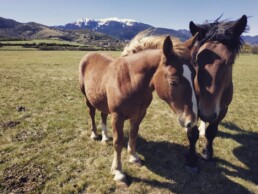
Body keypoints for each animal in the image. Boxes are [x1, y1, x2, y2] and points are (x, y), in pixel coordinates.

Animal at [78, 33, 198, 182]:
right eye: (173, 82)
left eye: (194, 76)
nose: (191, 121)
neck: (129, 81)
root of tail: (88, 55)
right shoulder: (117, 117)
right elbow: (118, 142)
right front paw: (118, 171)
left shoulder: (139, 114)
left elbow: (133, 135)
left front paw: (134, 157)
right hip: (87, 98)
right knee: (92, 113)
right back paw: (95, 134)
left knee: (103, 115)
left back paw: (105, 137)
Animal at [189, 14, 248, 164]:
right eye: (196, 61)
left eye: (231, 62)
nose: (207, 113)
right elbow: (192, 133)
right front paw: (191, 158)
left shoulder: (223, 109)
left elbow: (211, 132)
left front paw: (207, 153)